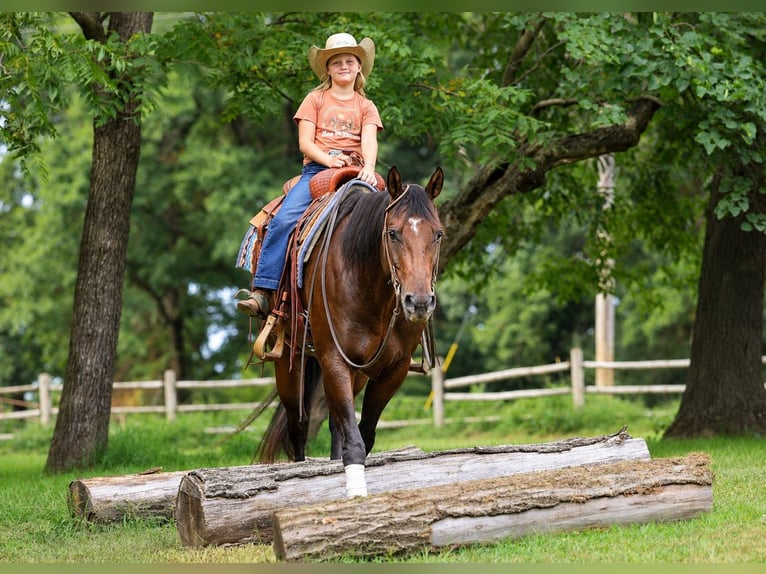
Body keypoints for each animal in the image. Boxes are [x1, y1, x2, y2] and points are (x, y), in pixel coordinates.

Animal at [255, 165, 444, 497]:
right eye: (392, 233)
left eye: (438, 233)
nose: (419, 302)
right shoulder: (334, 360)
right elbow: (352, 439)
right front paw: (356, 492)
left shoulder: (393, 370)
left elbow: (362, 434)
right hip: (290, 361)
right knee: (298, 425)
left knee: (334, 425)